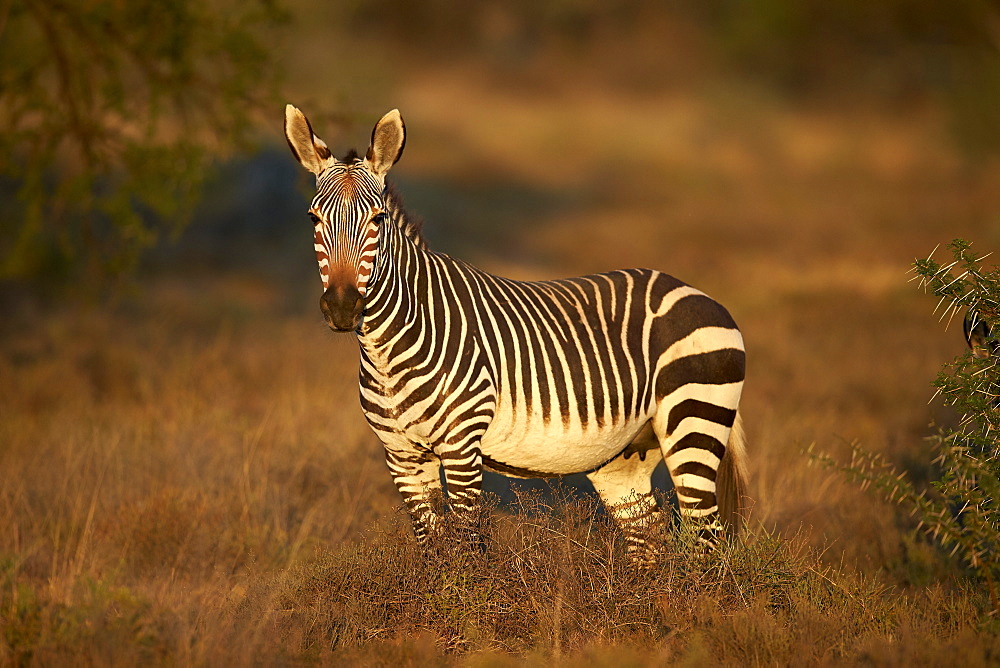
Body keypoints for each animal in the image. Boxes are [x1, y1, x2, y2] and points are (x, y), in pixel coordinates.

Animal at [286, 107, 748, 560]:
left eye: (377, 219)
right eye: (313, 218)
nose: (342, 308)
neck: (387, 350)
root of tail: (697, 292)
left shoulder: (461, 447)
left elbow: (467, 553)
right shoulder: (401, 456)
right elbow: (433, 554)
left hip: (693, 422)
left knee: (706, 541)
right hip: (625, 456)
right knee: (650, 540)